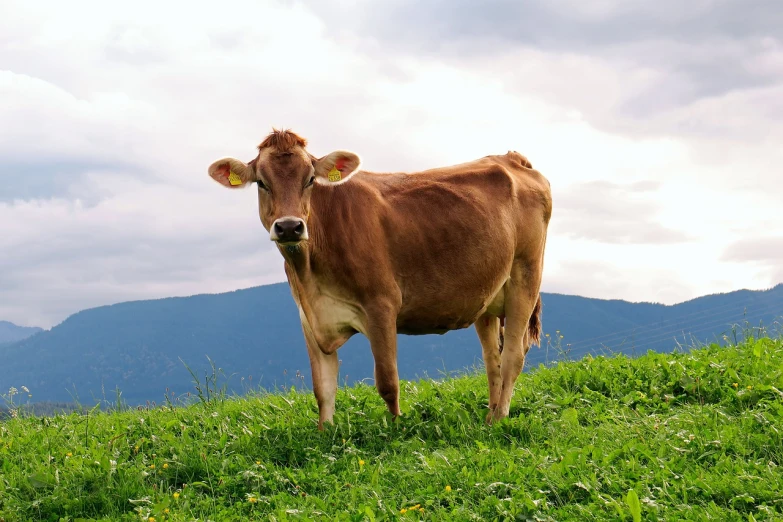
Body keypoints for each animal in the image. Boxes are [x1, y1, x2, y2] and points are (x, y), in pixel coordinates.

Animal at [207, 129, 552, 426]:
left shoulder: (381, 305)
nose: (290, 227)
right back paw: (490, 414)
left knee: (512, 356)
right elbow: (323, 389)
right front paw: (325, 434)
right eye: (261, 182)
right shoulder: (309, 317)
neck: (309, 274)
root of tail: (511, 158)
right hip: (487, 296)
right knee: (492, 359)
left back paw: (499, 418)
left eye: (310, 180)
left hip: (526, 275)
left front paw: (396, 429)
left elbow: (387, 381)